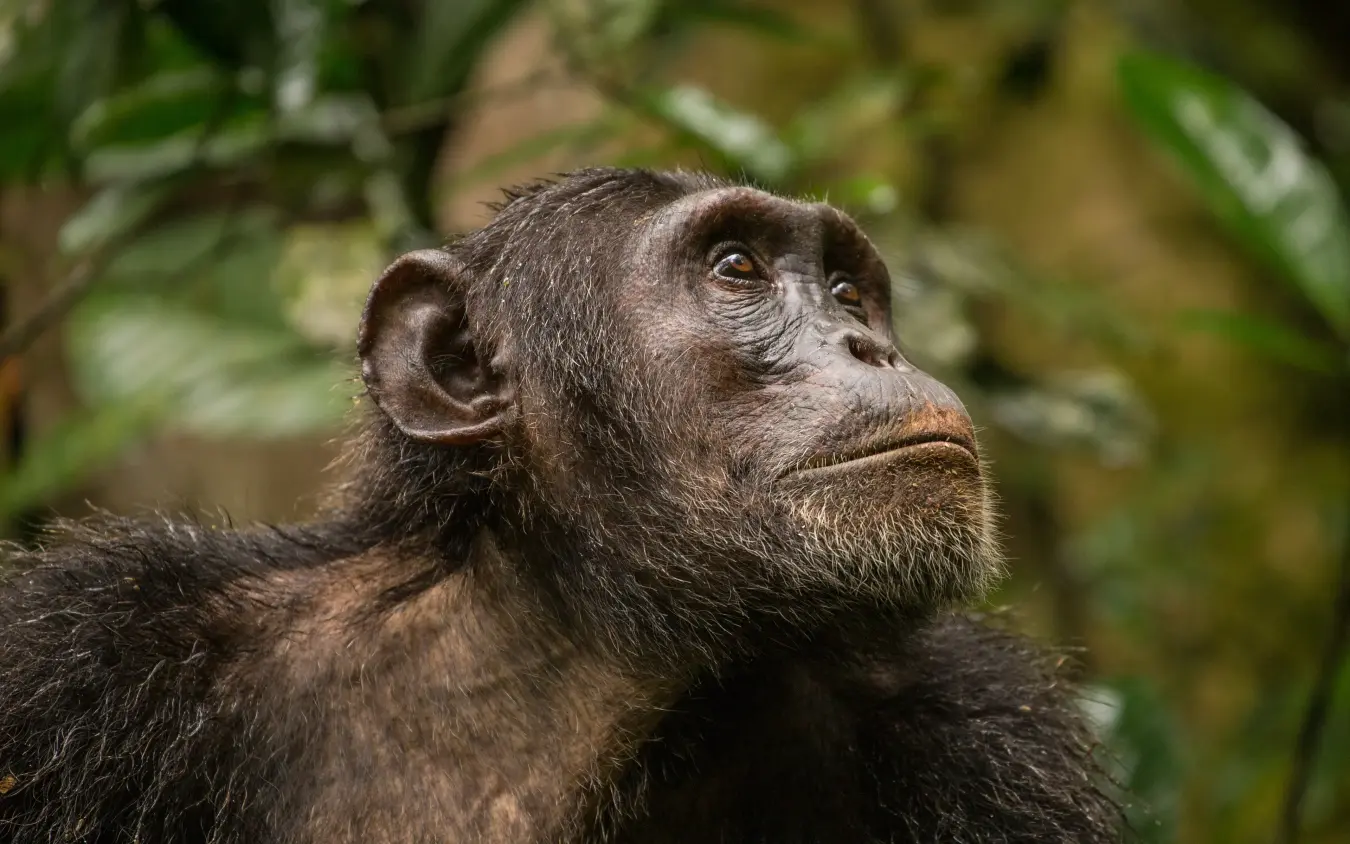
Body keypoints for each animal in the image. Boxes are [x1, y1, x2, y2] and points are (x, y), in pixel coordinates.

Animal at [0, 168, 1122, 843]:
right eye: (738, 268)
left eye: (847, 291)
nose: (870, 346)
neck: (576, 660)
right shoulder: (83, 657)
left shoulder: (985, 738)